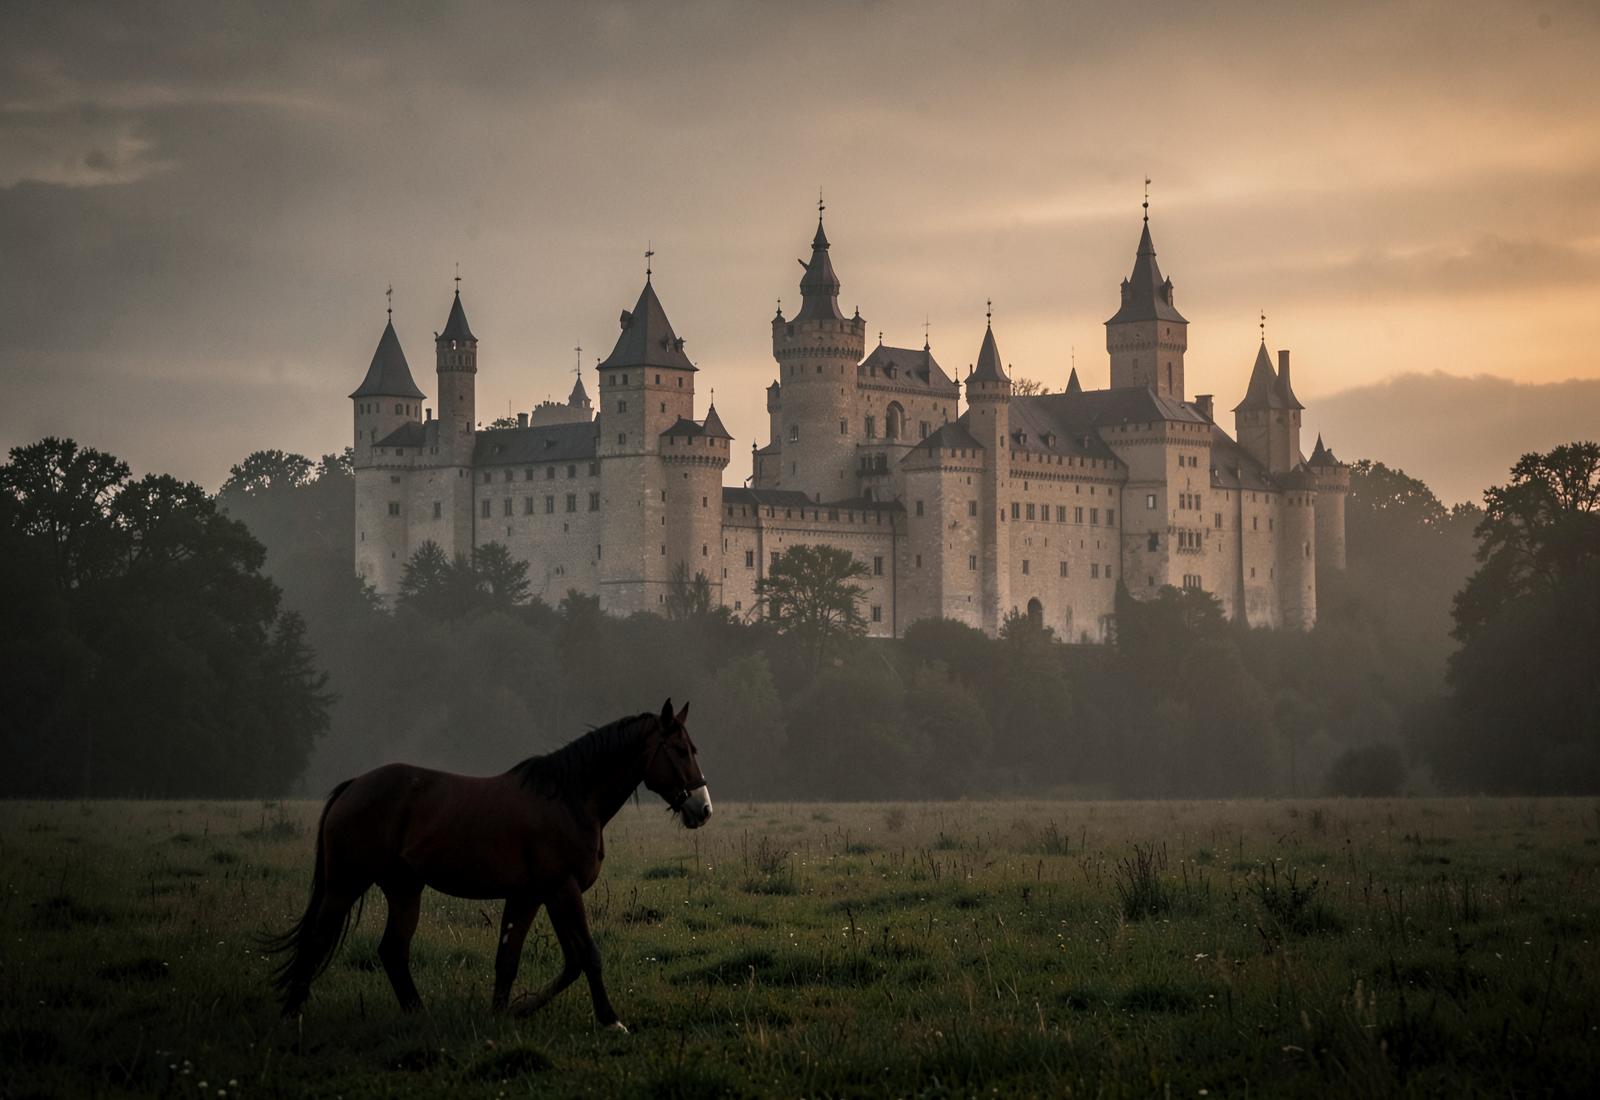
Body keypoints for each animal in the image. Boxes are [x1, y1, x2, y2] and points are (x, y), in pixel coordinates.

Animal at [263, 698, 710, 1030]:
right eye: (681, 750)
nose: (701, 809)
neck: (569, 799)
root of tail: (353, 786)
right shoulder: (561, 890)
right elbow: (587, 955)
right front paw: (610, 1021)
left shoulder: (531, 897)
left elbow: (518, 960)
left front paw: (507, 1012)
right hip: (345, 884)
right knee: (318, 940)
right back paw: (291, 1015)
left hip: (403, 889)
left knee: (392, 950)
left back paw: (418, 1016)